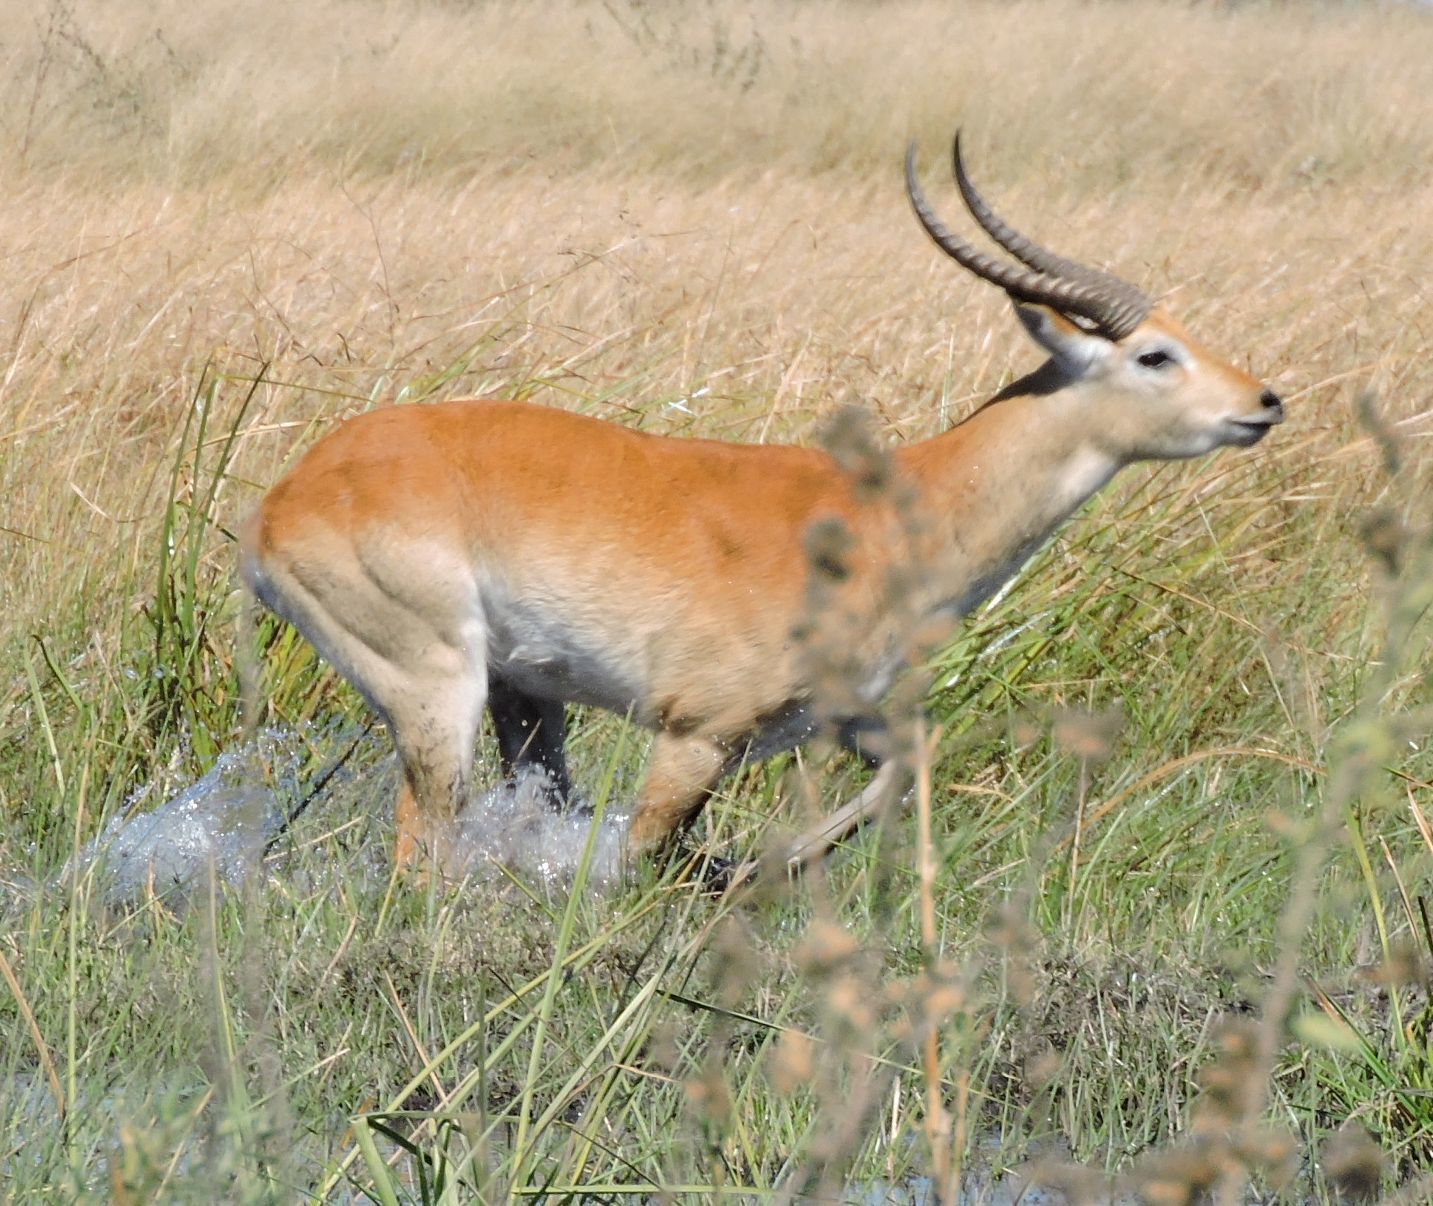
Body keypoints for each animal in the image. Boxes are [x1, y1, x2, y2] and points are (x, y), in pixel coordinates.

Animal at [240, 136, 1283, 876]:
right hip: (438, 693)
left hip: (524, 698)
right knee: (419, 851)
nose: (1263, 402)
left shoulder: (842, 714)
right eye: (1153, 353)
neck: (898, 509)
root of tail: (283, 500)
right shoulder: (697, 734)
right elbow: (644, 852)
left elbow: (905, 770)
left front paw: (765, 868)